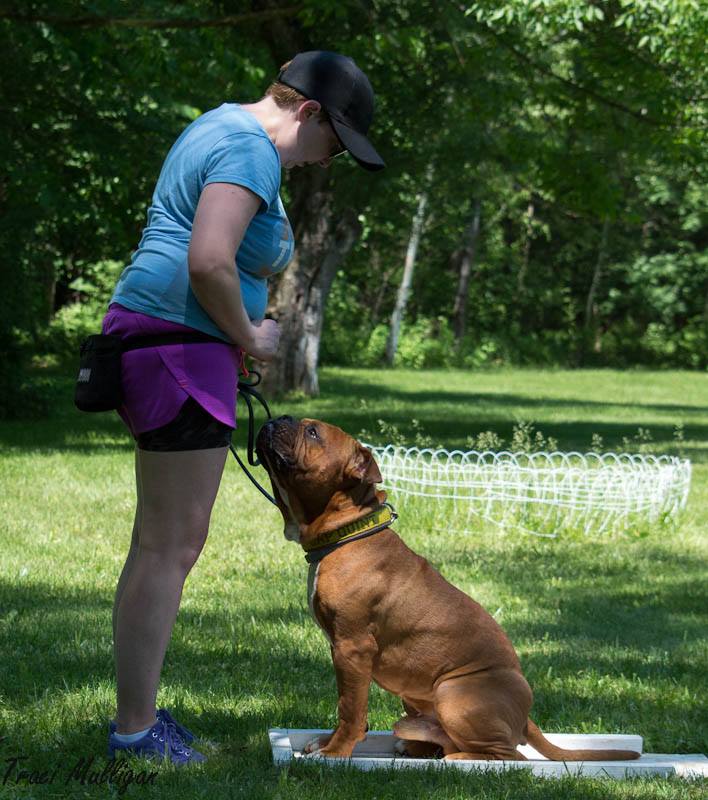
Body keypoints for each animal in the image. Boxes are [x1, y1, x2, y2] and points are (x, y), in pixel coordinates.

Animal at [256, 416, 640, 760]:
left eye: (313, 432)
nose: (279, 418)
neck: (349, 531)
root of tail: (525, 718)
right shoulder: (344, 655)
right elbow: (347, 705)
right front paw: (330, 742)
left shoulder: (352, 649)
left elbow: (350, 709)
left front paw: (335, 751)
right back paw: (419, 747)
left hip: (453, 691)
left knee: (508, 755)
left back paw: (456, 759)